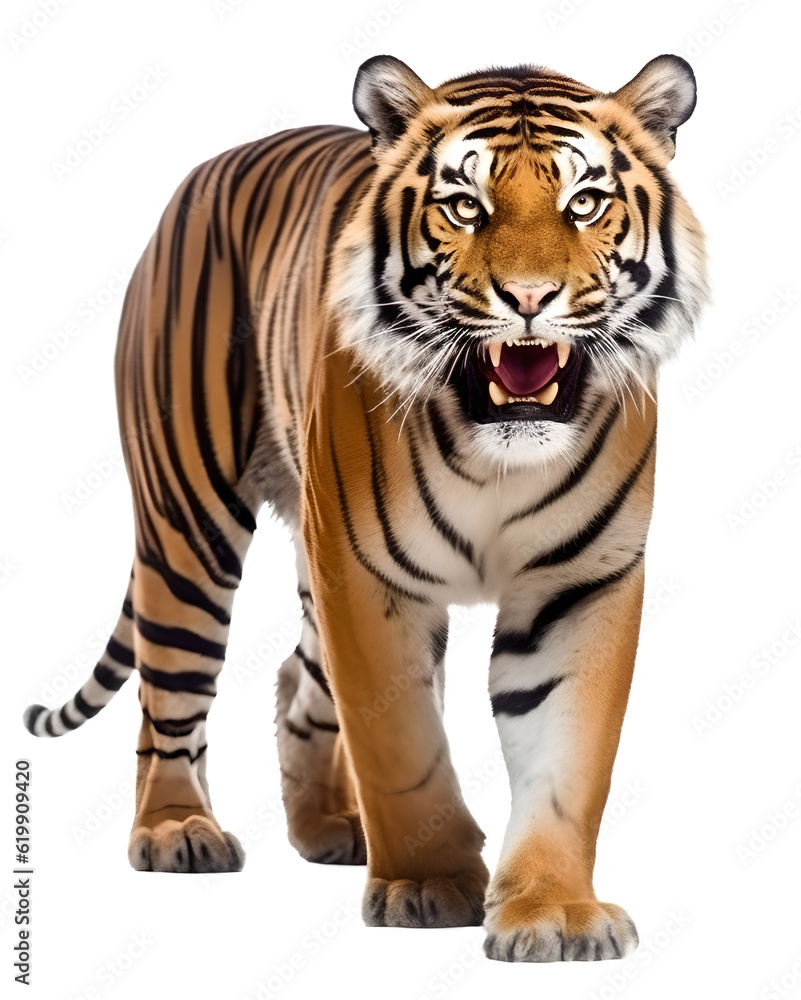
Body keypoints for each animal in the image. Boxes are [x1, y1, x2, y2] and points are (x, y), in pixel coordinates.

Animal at [23, 52, 707, 963]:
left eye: (584, 203)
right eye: (464, 205)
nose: (530, 297)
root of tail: (205, 171)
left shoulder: (580, 583)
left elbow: (566, 758)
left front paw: (553, 912)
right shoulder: (367, 577)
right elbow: (401, 743)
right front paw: (426, 884)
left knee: (293, 675)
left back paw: (329, 827)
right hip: (189, 523)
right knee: (169, 691)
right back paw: (176, 832)